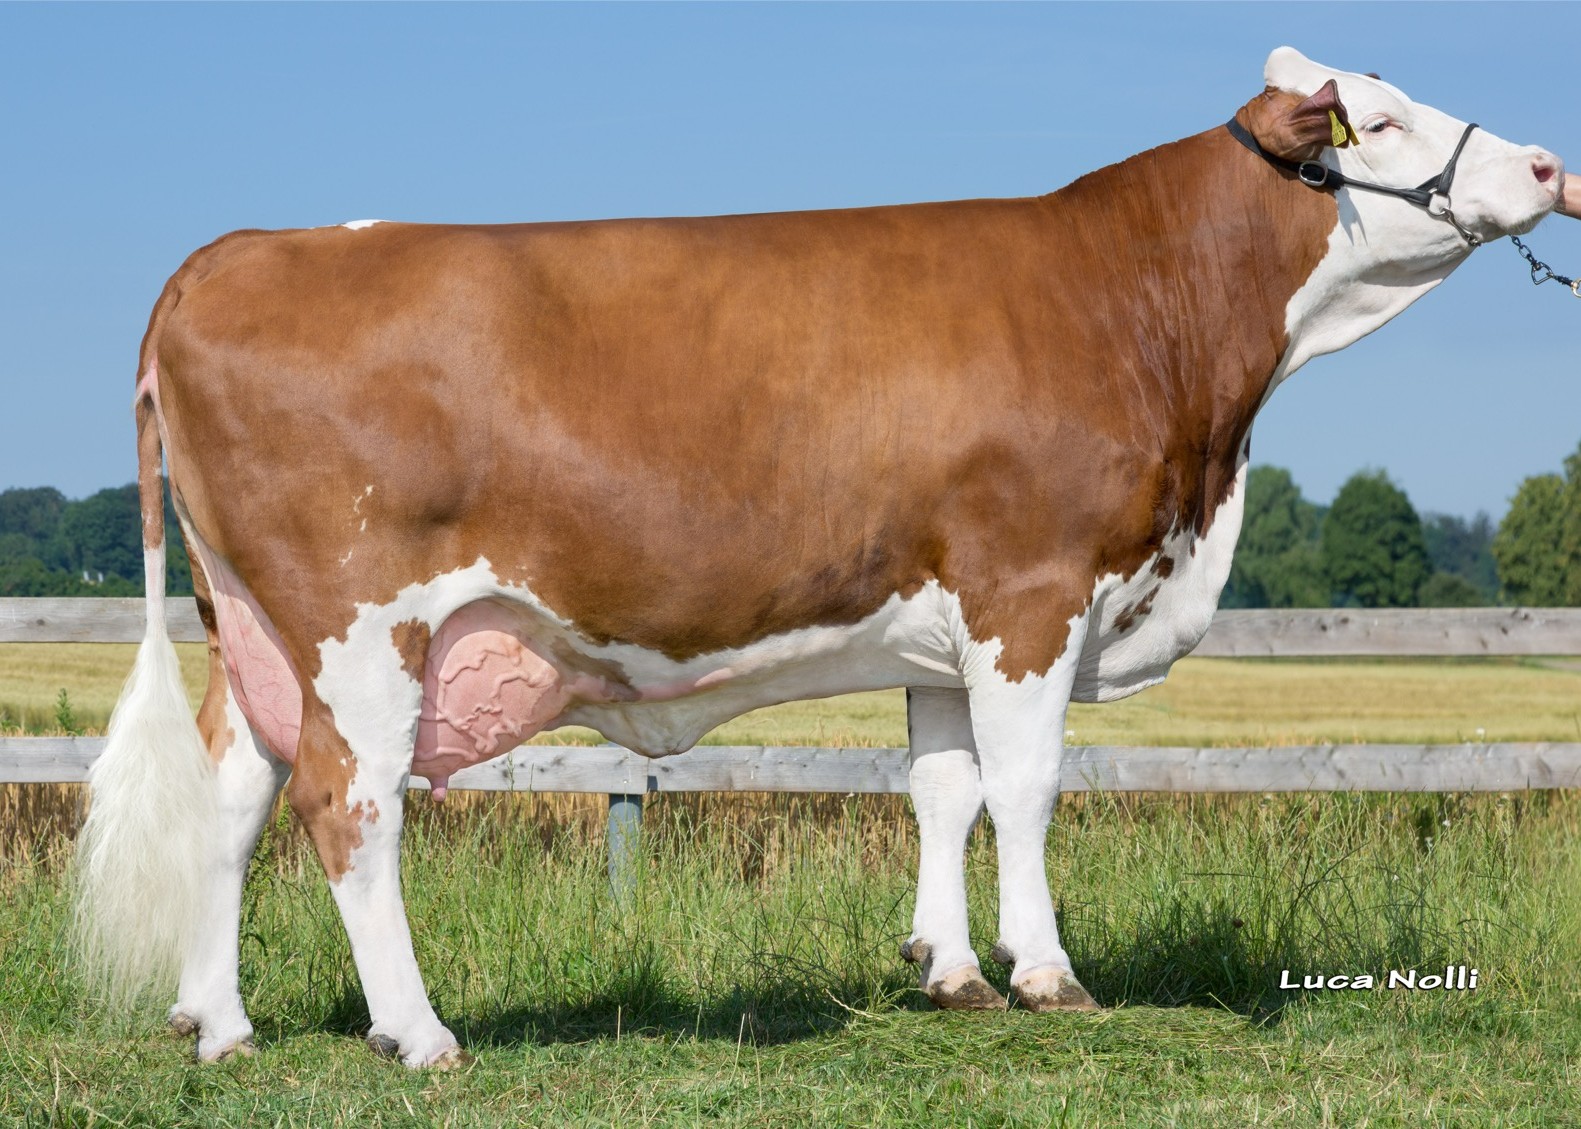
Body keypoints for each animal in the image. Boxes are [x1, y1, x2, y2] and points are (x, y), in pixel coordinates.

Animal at [75, 47, 1568, 1067]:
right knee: (351, 803)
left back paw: (217, 1023)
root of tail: (232, 254)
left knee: (233, 797)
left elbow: (943, 789)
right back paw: (419, 1035)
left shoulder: (942, 618)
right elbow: (1027, 788)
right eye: (1380, 117)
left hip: (253, 628)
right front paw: (1047, 973)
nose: (1550, 166)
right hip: (357, 624)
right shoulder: (1031, 588)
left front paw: (950, 970)